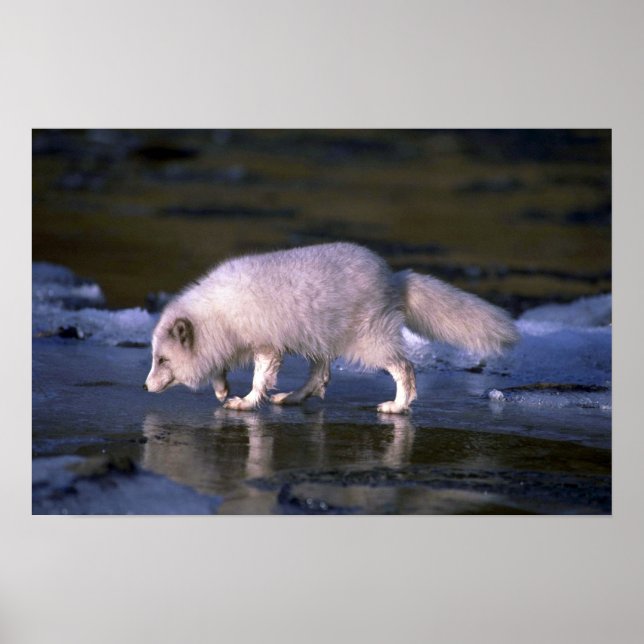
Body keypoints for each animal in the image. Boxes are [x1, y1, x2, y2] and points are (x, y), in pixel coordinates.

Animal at [144, 242, 519, 413]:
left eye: (162, 360)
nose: (145, 386)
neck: (218, 312)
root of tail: (393, 278)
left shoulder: (266, 345)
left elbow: (259, 377)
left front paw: (246, 402)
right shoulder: (229, 343)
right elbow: (220, 367)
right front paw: (222, 390)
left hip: (370, 340)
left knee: (405, 368)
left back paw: (397, 406)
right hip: (319, 340)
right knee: (321, 376)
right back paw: (291, 398)